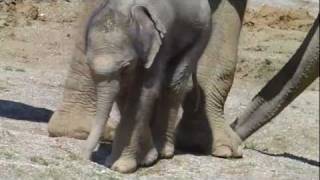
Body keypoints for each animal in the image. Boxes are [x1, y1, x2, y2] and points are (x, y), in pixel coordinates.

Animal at [79, 0, 211, 173]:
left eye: (126, 67)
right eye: (88, 64)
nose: (84, 158)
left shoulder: (161, 42)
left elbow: (143, 92)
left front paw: (121, 166)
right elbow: (126, 92)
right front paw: (146, 159)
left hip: (201, 32)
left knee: (173, 84)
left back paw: (165, 151)